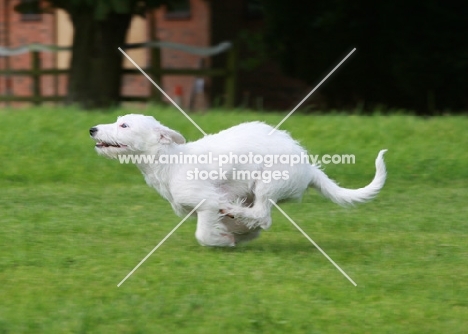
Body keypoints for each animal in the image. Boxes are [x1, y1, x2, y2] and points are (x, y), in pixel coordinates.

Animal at [88, 115, 388, 248]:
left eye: (124, 125)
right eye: (118, 120)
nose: (92, 129)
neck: (170, 161)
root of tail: (309, 167)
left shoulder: (206, 202)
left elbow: (203, 234)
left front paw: (222, 240)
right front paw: (233, 233)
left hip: (268, 182)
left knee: (262, 215)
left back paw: (234, 212)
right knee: (259, 220)